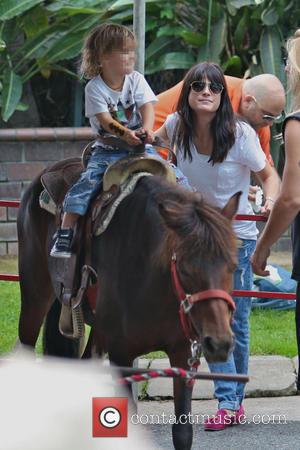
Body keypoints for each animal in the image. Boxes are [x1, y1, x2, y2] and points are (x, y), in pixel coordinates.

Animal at [18, 170, 239, 450]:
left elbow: (183, 432)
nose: (219, 343)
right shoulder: (121, 356)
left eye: (232, 265)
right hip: (35, 299)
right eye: (185, 267)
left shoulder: (183, 355)